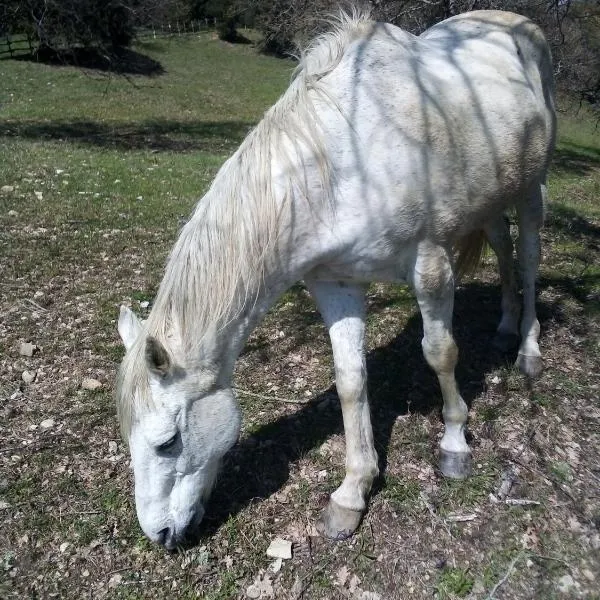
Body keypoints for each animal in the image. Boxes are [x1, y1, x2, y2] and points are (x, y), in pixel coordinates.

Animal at [115, 9, 556, 552]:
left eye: (168, 441)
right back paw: (505, 327)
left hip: (532, 189)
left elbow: (440, 353)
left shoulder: (430, 265)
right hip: (493, 199)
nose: (159, 533)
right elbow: (350, 381)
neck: (348, 161)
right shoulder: (336, 285)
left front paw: (455, 444)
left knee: (529, 259)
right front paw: (352, 491)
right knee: (504, 251)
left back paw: (529, 350)